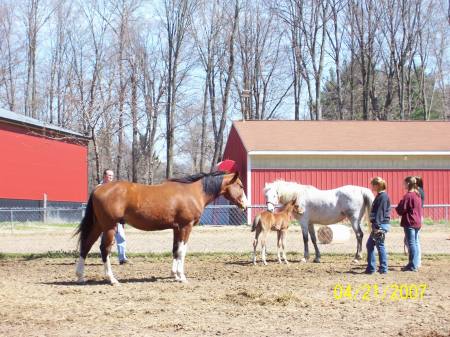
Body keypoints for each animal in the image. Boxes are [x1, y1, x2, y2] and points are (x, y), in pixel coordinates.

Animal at [75, 171, 248, 284]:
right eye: (240, 185)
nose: (245, 205)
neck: (193, 192)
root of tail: (98, 189)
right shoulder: (186, 226)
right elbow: (182, 251)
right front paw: (181, 276)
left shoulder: (176, 228)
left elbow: (175, 250)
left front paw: (175, 275)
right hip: (109, 226)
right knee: (104, 249)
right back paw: (112, 279)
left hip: (98, 225)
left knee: (86, 246)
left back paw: (80, 276)